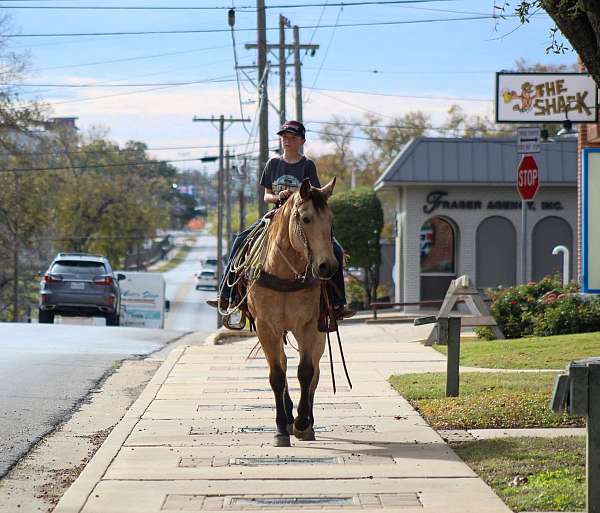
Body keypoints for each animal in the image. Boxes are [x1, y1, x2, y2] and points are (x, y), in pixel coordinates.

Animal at [245, 178, 338, 446]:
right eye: (305, 219)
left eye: (331, 219)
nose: (327, 266)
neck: (284, 274)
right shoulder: (266, 327)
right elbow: (277, 375)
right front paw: (280, 428)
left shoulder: (310, 326)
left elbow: (306, 373)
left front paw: (303, 422)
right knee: (284, 366)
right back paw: (287, 416)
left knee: (315, 372)